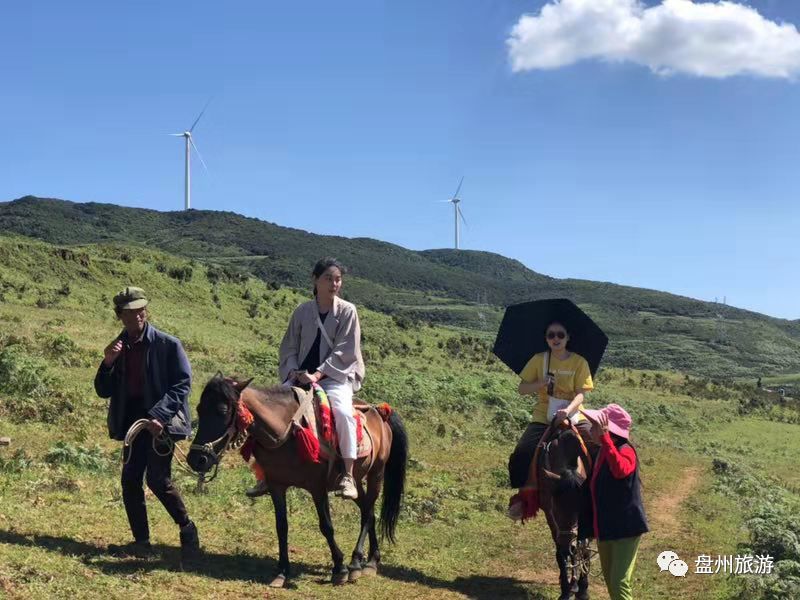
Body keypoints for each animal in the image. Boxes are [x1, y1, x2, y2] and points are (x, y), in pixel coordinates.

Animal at [187, 376, 406, 584]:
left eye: (222, 411)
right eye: (199, 409)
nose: (196, 459)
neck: (285, 431)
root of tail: (379, 412)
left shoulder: (317, 487)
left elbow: (326, 526)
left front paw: (339, 568)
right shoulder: (276, 485)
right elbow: (281, 526)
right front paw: (283, 571)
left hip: (376, 473)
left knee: (367, 513)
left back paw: (356, 563)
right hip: (357, 480)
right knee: (368, 512)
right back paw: (369, 560)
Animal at [536, 424, 592, 600]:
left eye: (583, 509)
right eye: (555, 508)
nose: (569, 546)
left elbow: (585, 550)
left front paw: (583, 588)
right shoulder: (551, 517)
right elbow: (560, 553)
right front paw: (566, 590)